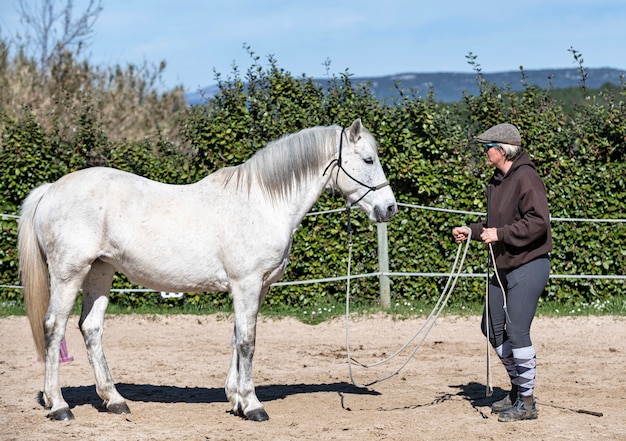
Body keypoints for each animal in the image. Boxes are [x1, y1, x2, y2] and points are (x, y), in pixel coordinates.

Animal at [18, 118, 394, 422]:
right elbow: (248, 341)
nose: (389, 208)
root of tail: (50, 190)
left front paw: (236, 400)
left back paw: (114, 400)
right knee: (54, 328)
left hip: (100, 271)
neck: (263, 202)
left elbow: (238, 336)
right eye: (368, 160)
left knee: (91, 328)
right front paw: (253, 405)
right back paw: (59, 406)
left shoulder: (257, 287)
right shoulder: (247, 283)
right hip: (69, 273)